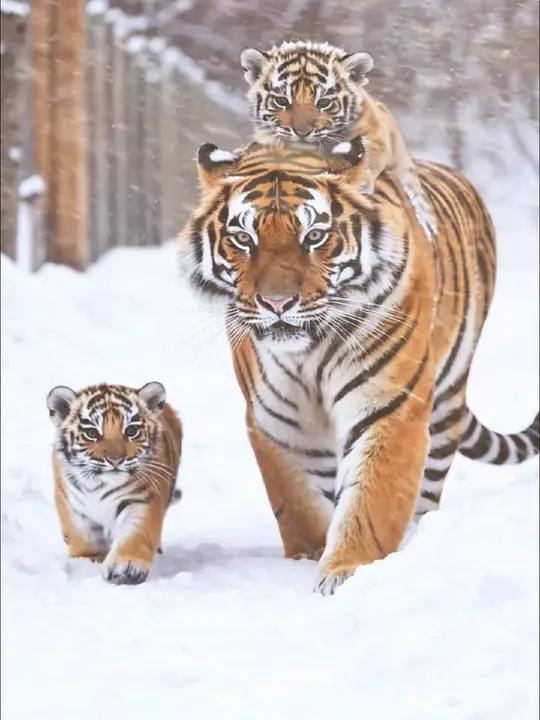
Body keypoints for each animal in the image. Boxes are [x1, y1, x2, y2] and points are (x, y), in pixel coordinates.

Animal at [47, 382, 183, 585]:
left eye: (131, 431)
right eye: (92, 433)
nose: (115, 460)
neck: (98, 486)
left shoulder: (141, 501)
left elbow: (135, 535)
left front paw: (125, 569)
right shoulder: (72, 506)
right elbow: (82, 537)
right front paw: (87, 561)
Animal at [180, 138, 539, 596]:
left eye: (314, 236)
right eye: (243, 238)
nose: (278, 304)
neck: (309, 351)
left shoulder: (390, 407)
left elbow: (372, 501)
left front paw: (345, 572)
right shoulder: (278, 423)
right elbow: (299, 506)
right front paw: (311, 556)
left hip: (445, 400)